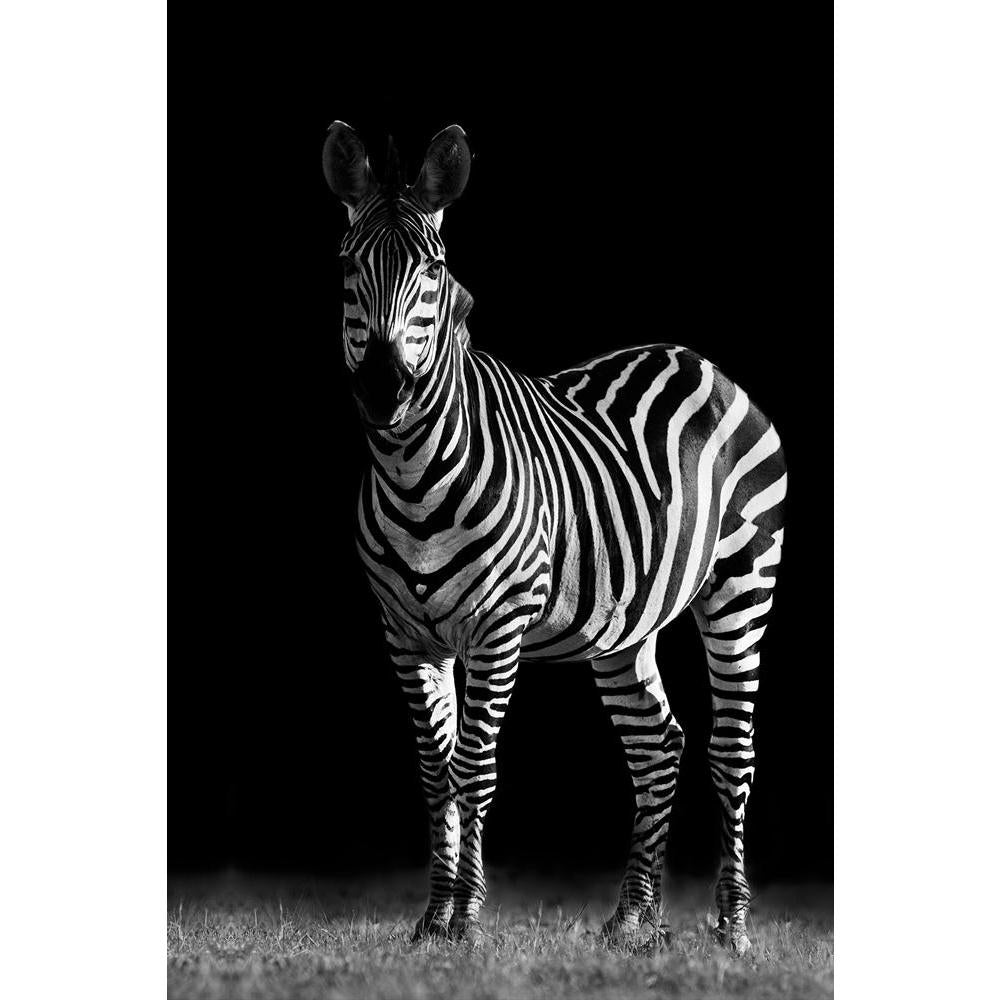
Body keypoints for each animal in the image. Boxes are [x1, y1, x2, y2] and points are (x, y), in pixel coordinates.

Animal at [322, 121, 786, 955]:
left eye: (433, 270)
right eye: (347, 267)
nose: (382, 387)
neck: (411, 470)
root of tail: (697, 360)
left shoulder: (498, 628)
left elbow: (474, 768)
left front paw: (466, 920)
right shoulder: (406, 637)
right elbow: (434, 774)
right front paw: (431, 917)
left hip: (744, 583)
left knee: (732, 751)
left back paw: (732, 929)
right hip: (622, 626)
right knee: (658, 746)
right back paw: (633, 918)